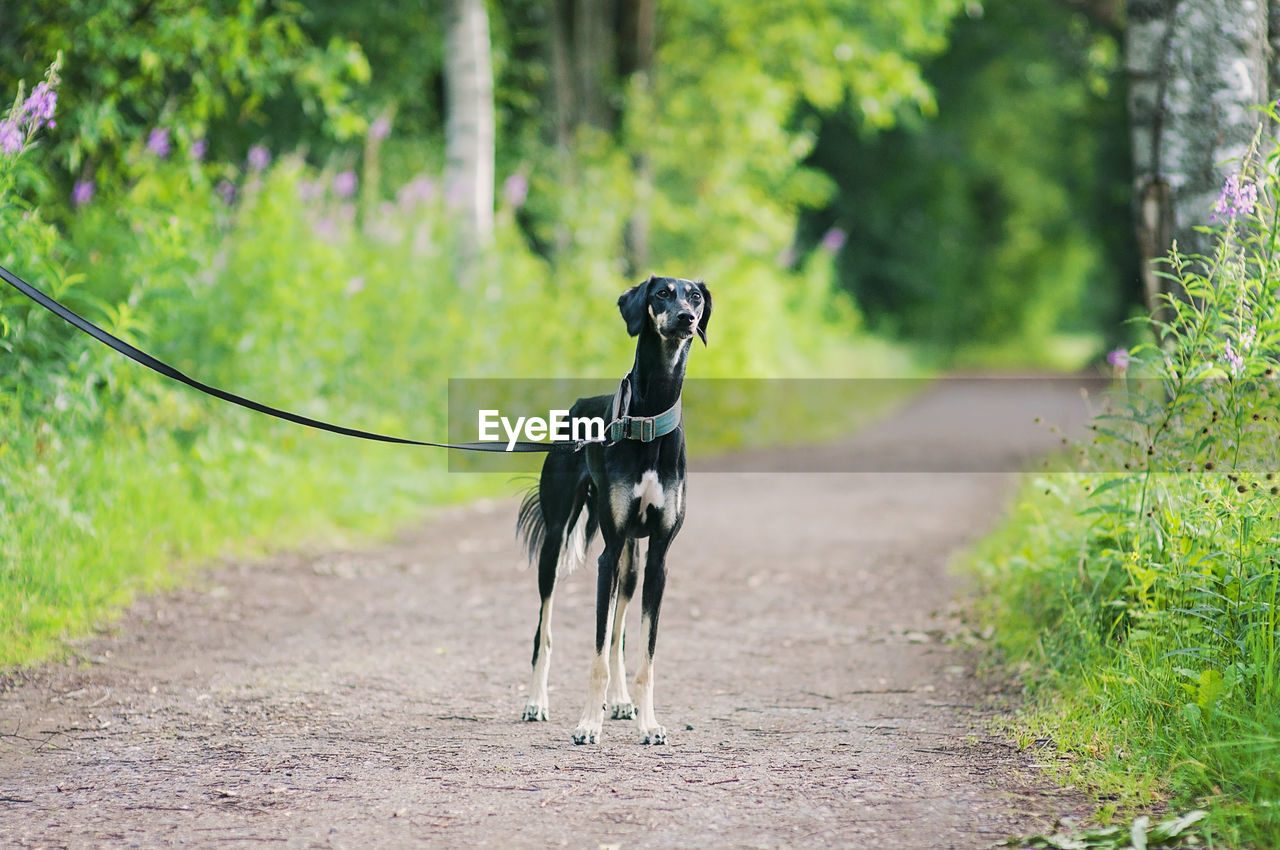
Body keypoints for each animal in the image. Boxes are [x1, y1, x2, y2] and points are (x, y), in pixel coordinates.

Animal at [514, 277, 711, 742]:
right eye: (662, 293)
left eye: (695, 296)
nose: (686, 319)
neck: (648, 421)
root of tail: (576, 407)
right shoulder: (607, 556)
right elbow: (597, 653)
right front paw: (588, 723)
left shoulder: (657, 559)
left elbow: (642, 653)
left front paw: (649, 723)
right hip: (556, 545)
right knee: (544, 631)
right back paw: (537, 701)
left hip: (632, 560)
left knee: (620, 632)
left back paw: (621, 702)